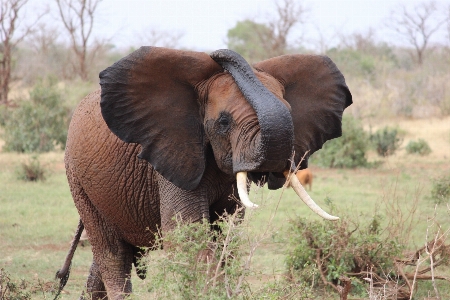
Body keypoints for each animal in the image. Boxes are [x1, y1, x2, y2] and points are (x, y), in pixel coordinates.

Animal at [54, 47, 354, 300]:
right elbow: (188, 234)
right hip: (78, 179)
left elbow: (226, 235)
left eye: (290, 114)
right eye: (223, 122)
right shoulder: (175, 150)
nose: (218, 54)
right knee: (112, 254)